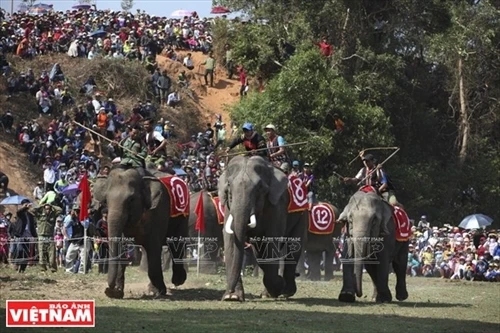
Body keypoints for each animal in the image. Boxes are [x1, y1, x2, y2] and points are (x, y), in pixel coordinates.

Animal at [92, 166, 189, 298]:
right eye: (106, 200)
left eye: (131, 200)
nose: (108, 289)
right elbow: (122, 247)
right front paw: (116, 292)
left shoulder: (159, 211)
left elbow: (154, 248)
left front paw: (160, 292)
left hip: (183, 215)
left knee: (177, 243)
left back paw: (177, 281)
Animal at [218, 156, 304, 300]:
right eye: (229, 185)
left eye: (259, 188)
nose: (229, 291)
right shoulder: (228, 207)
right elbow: (230, 241)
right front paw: (233, 298)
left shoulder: (277, 205)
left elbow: (271, 241)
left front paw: (279, 285)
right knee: (259, 254)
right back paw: (269, 293)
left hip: (303, 215)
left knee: (294, 248)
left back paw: (285, 291)